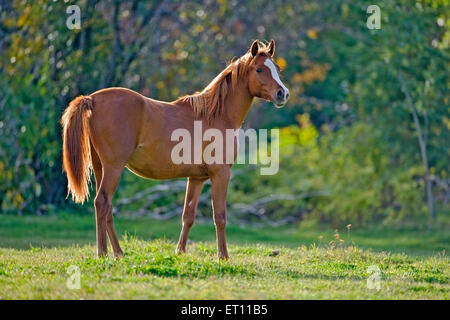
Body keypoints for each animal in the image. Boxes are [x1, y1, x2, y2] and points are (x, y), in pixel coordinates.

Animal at [61, 40, 290, 260]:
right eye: (259, 69)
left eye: (277, 68)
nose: (283, 94)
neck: (215, 114)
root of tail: (92, 98)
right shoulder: (221, 173)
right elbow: (220, 216)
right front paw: (223, 256)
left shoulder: (196, 178)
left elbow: (188, 215)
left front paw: (180, 252)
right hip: (114, 168)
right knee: (102, 203)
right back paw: (102, 253)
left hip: (101, 168)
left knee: (107, 208)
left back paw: (118, 253)